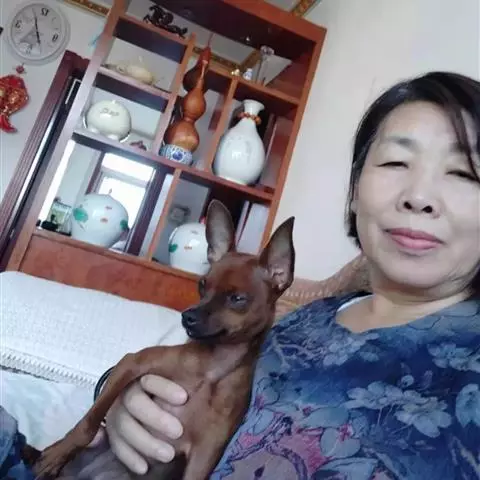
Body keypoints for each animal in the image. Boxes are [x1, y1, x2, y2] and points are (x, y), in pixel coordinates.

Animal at [33, 199, 295, 479]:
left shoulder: (204, 456)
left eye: (237, 299)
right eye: (203, 285)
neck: (211, 369)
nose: (188, 317)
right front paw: (60, 451)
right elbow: (89, 423)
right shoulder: (131, 364)